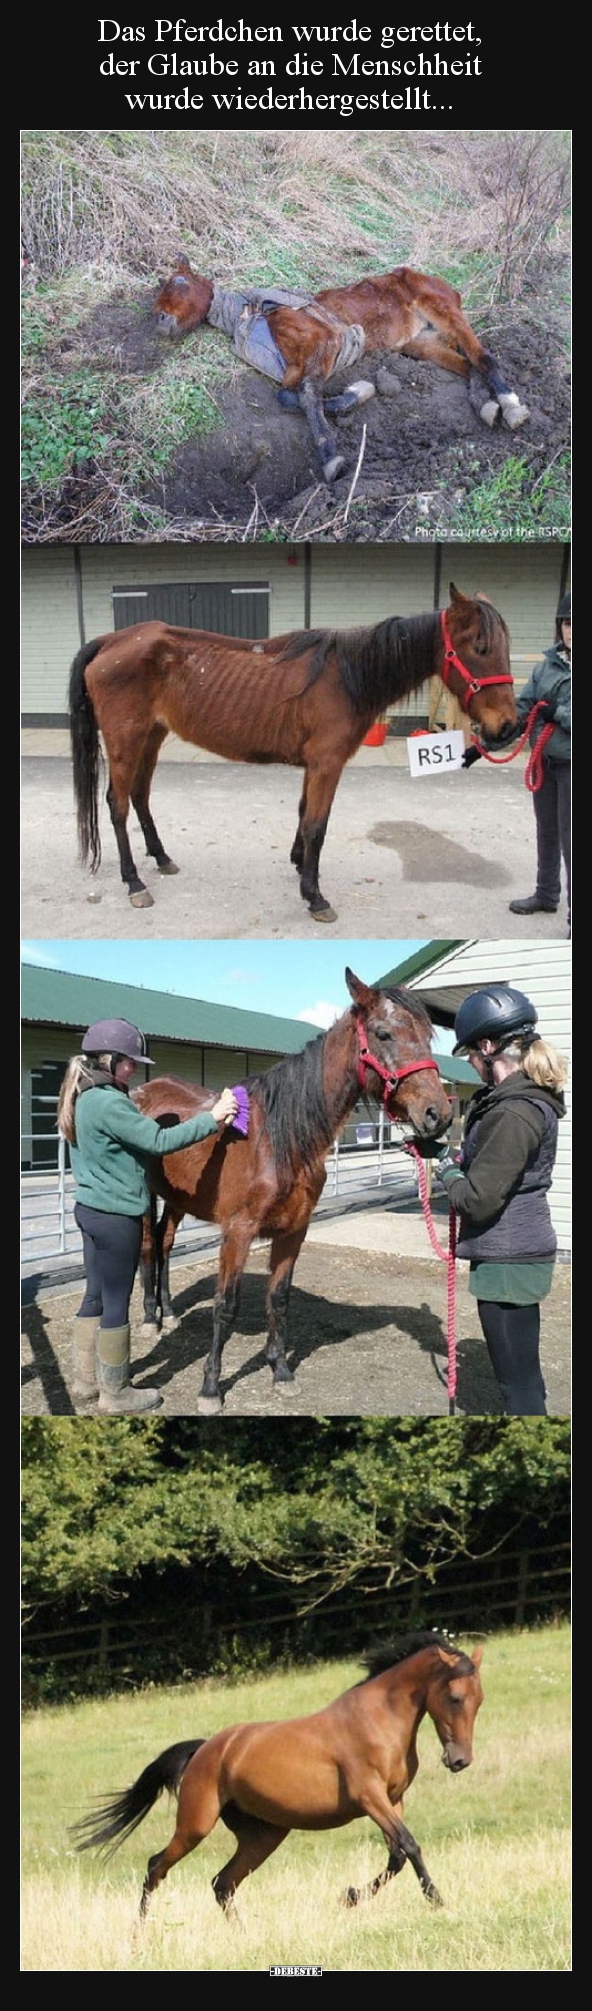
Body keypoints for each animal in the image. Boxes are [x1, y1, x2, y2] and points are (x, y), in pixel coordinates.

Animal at [66, 587, 515, 921]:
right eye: (479, 646)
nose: (508, 727)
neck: (348, 676)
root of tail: (110, 640)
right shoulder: (326, 765)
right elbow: (317, 825)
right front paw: (314, 895)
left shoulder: (313, 766)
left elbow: (303, 816)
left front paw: (300, 865)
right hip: (125, 739)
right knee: (117, 804)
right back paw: (134, 882)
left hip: (152, 736)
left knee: (140, 796)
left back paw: (161, 858)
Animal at [70, 1624, 485, 1922]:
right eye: (455, 1698)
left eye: (479, 1700)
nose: (459, 1761)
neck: (378, 1719)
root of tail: (206, 1749)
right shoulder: (370, 1797)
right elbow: (410, 1846)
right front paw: (437, 1900)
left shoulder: (393, 1800)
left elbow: (396, 1856)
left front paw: (349, 1896)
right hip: (195, 1825)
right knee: (157, 1867)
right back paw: (140, 1932)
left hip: (263, 1835)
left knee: (223, 1883)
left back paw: (241, 1933)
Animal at [133, 969, 451, 1415]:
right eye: (383, 1033)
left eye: (427, 1035)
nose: (439, 1114)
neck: (280, 1140)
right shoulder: (238, 1232)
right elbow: (225, 1307)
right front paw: (211, 1388)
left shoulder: (294, 1231)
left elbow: (279, 1299)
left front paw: (281, 1371)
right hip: (146, 1194)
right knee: (149, 1244)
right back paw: (150, 1319)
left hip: (178, 1200)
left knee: (165, 1242)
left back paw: (169, 1311)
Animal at [155, 255, 527, 482]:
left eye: (178, 282)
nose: (159, 320)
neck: (256, 316)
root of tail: (444, 284)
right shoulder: (294, 368)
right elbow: (288, 396)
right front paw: (357, 393)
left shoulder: (327, 341)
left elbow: (307, 395)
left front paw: (330, 457)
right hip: (420, 341)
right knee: (469, 364)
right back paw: (484, 404)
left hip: (443, 309)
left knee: (484, 357)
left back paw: (510, 405)